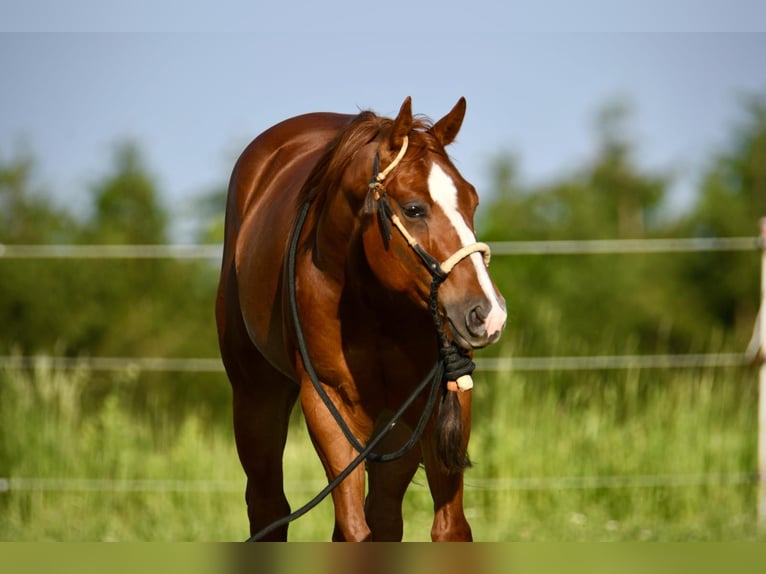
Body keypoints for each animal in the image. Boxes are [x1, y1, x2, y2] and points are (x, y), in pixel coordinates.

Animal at [215, 97, 507, 541]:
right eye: (414, 208)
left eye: (472, 201)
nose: (487, 313)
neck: (374, 305)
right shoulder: (328, 404)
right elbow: (353, 529)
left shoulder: (438, 402)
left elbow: (449, 528)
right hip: (256, 397)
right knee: (269, 507)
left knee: (383, 515)